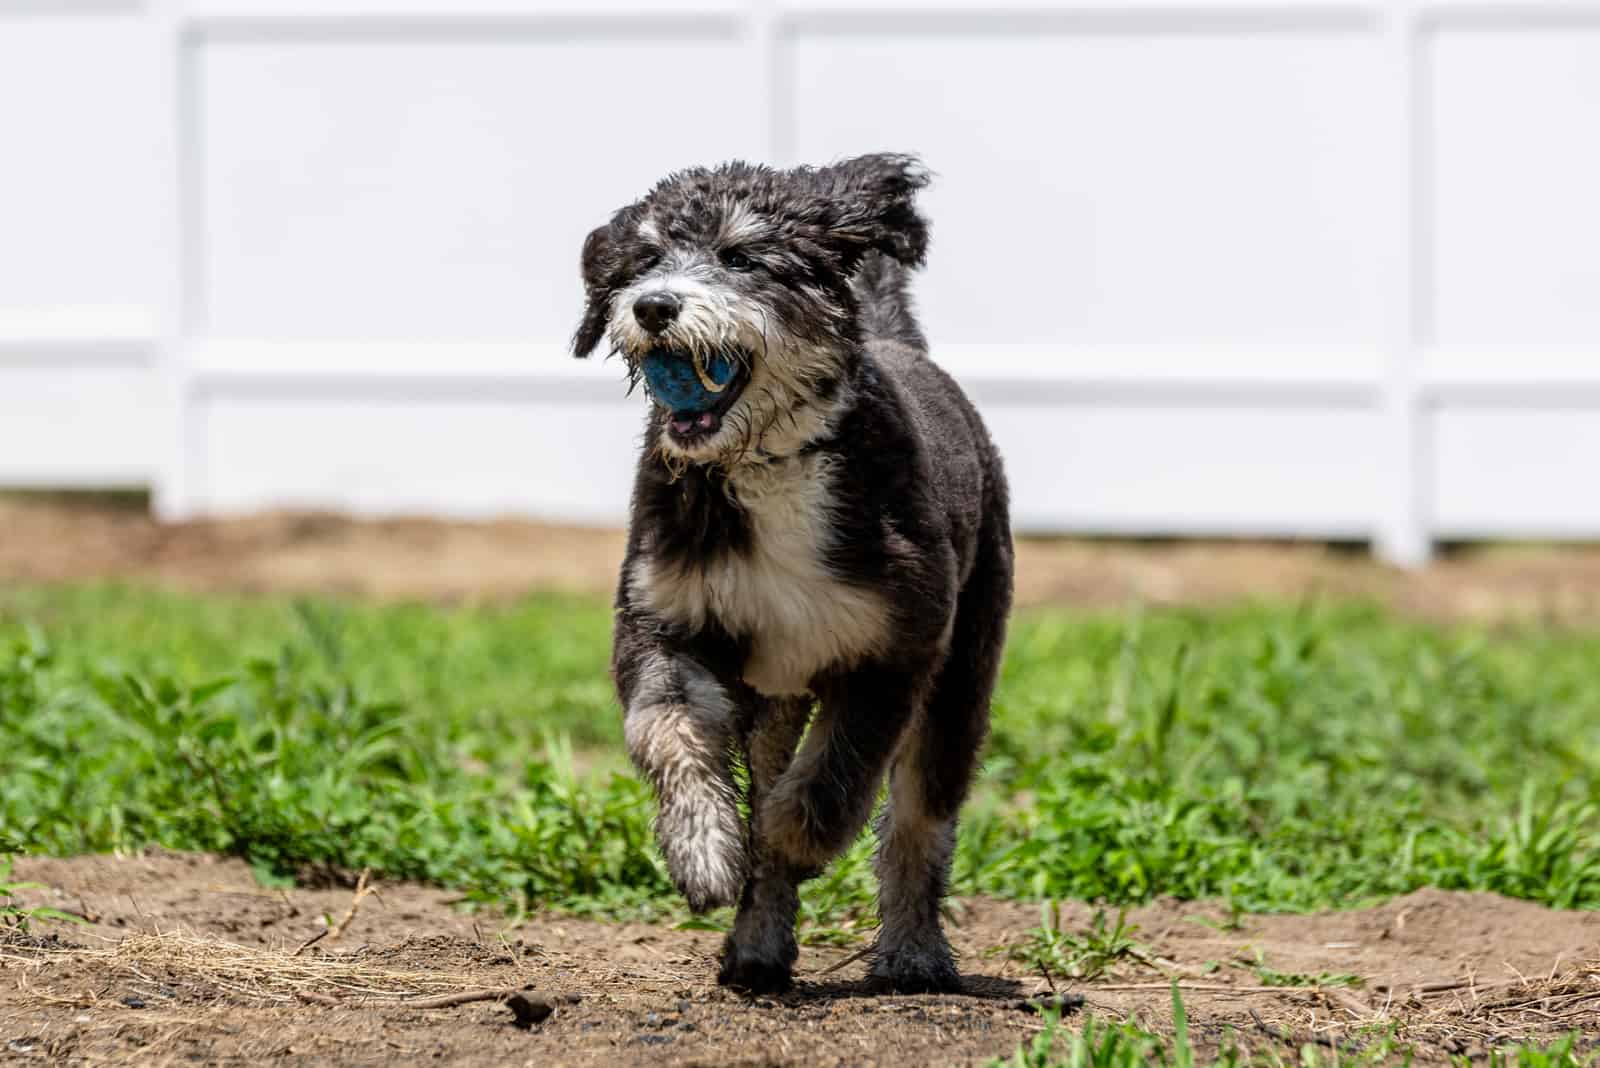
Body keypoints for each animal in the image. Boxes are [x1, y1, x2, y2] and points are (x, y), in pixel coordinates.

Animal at [569, 151, 1004, 991]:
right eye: (643, 262)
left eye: (741, 257)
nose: (654, 307)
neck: (769, 464)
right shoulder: (662, 621)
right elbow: (667, 729)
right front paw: (706, 851)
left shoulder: (896, 647)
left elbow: (839, 774)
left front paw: (795, 836)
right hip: (774, 696)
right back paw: (758, 942)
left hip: (965, 667)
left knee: (921, 814)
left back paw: (913, 951)